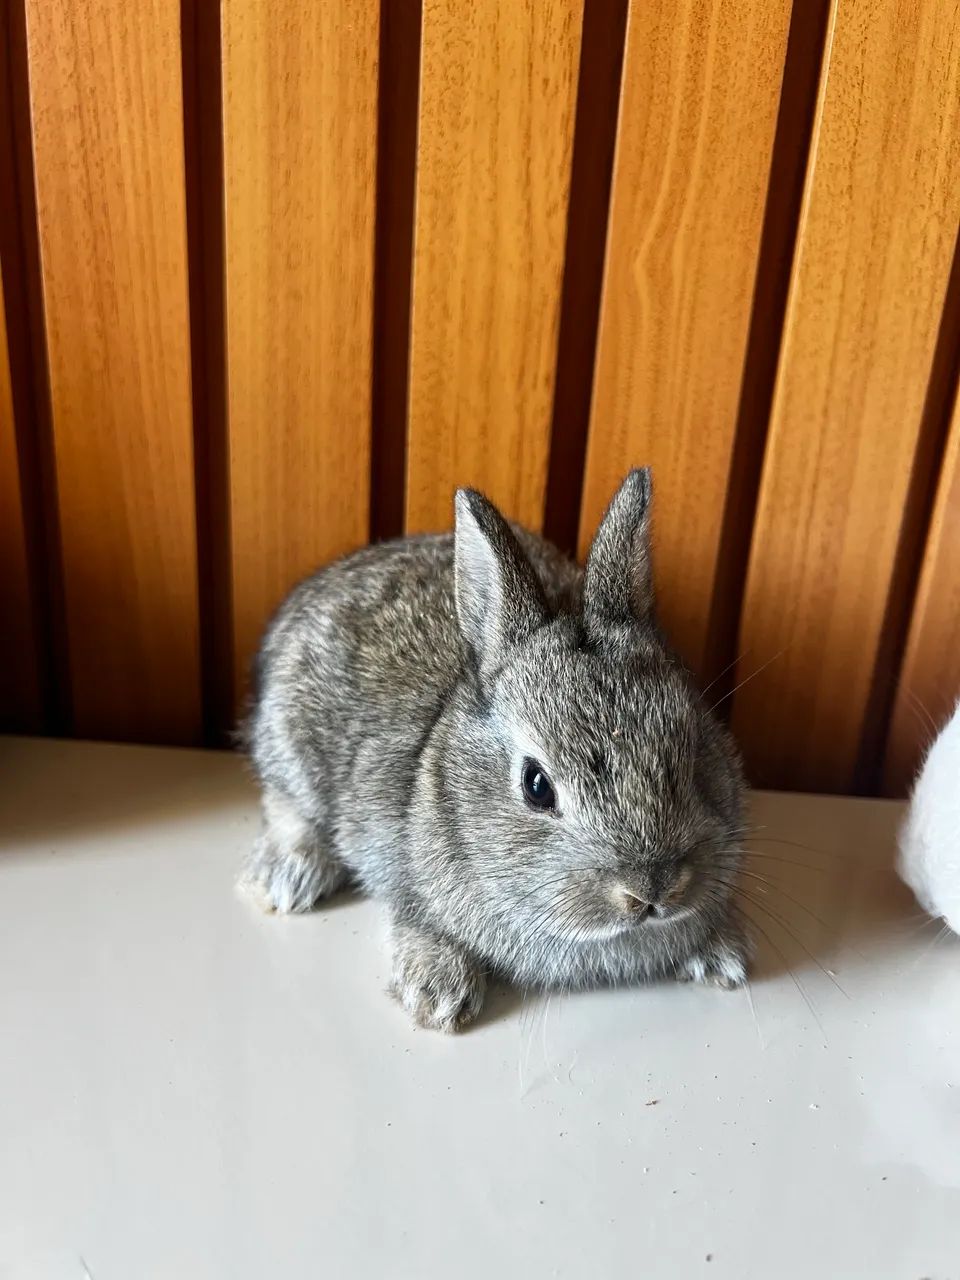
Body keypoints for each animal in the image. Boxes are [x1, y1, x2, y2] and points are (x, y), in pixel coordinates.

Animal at [240, 470, 750, 1031]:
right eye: (537, 786)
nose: (652, 889)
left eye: (694, 748)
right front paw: (438, 993)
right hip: (288, 743)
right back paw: (286, 880)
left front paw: (722, 955)